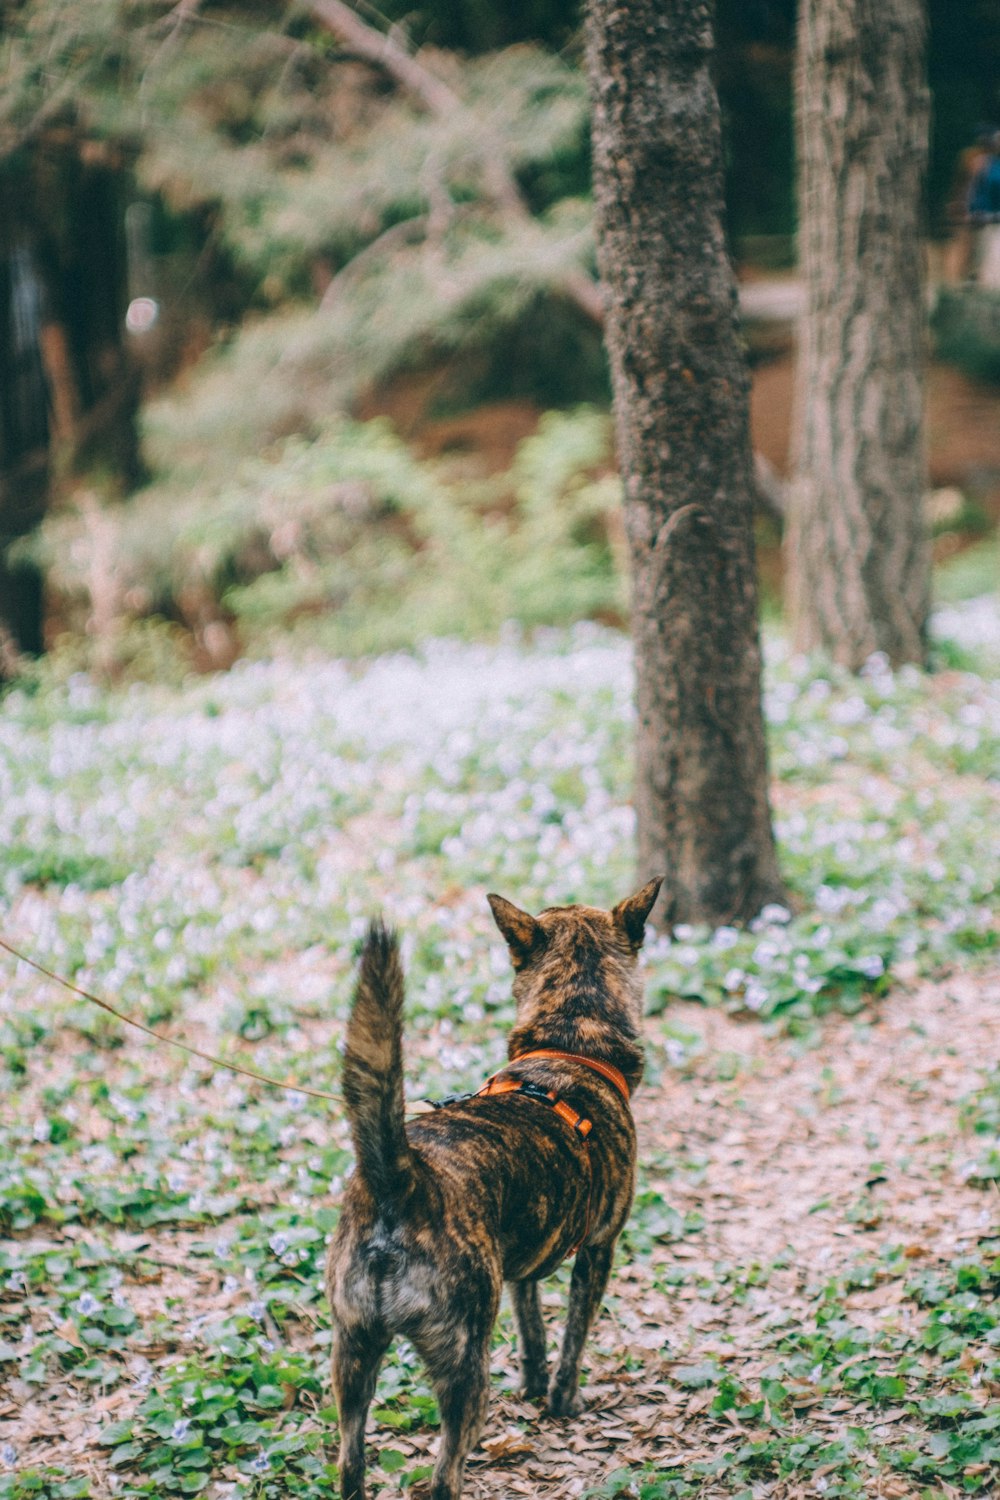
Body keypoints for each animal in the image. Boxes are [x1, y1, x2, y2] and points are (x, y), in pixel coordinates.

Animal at [325, 876, 659, 1500]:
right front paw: (561, 1401)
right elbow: (573, 1338)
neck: (569, 1041)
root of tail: (402, 1180)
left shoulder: (524, 1259)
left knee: (350, 1463)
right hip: (464, 1366)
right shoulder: (598, 1250)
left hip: (351, 1355)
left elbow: (533, 1331)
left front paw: (533, 1383)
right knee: (443, 1477)